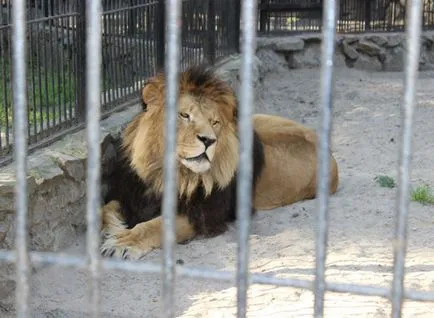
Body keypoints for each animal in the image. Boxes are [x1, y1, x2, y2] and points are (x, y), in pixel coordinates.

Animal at [101, 63, 340, 260]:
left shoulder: (204, 214)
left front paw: (124, 241)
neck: (169, 172)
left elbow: (156, 225)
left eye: (214, 122)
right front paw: (113, 228)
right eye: (184, 115)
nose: (209, 140)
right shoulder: (131, 194)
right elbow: (105, 209)